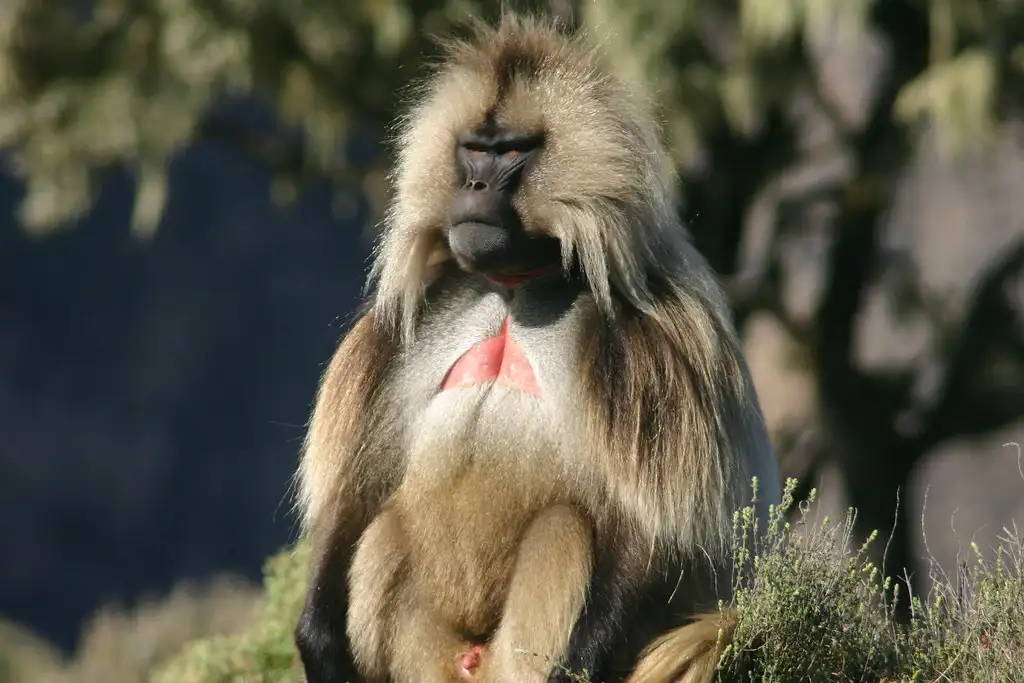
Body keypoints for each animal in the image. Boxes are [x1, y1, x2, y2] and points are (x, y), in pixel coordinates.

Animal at [293, 11, 781, 683]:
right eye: (474, 147)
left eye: (512, 152)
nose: (473, 183)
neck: (516, 286)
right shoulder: (400, 328)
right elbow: (357, 490)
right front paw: (315, 638)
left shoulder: (655, 337)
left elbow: (656, 525)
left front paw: (586, 658)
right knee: (387, 526)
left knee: (562, 529)